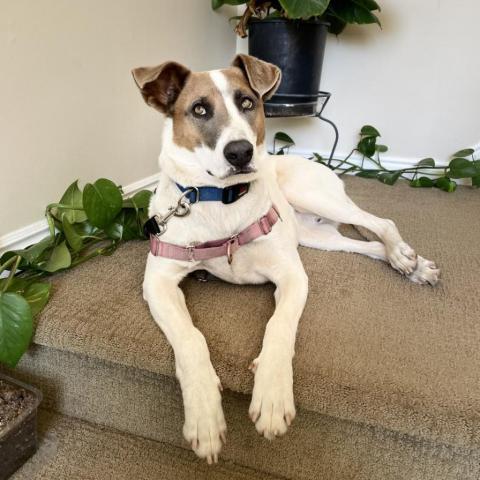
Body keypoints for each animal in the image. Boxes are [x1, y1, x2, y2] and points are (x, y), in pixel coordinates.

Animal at [130, 54, 438, 464]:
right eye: (199, 109)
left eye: (247, 102)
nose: (241, 152)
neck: (221, 201)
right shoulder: (158, 282)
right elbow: (190, 337)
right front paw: (204, 415)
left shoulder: (292, 275)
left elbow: (279, 327)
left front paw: (273, 396)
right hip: (317, 236)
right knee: (366, 244)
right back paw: (408, 263)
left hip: (313, 196)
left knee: (380, 222)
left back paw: (407, 259)